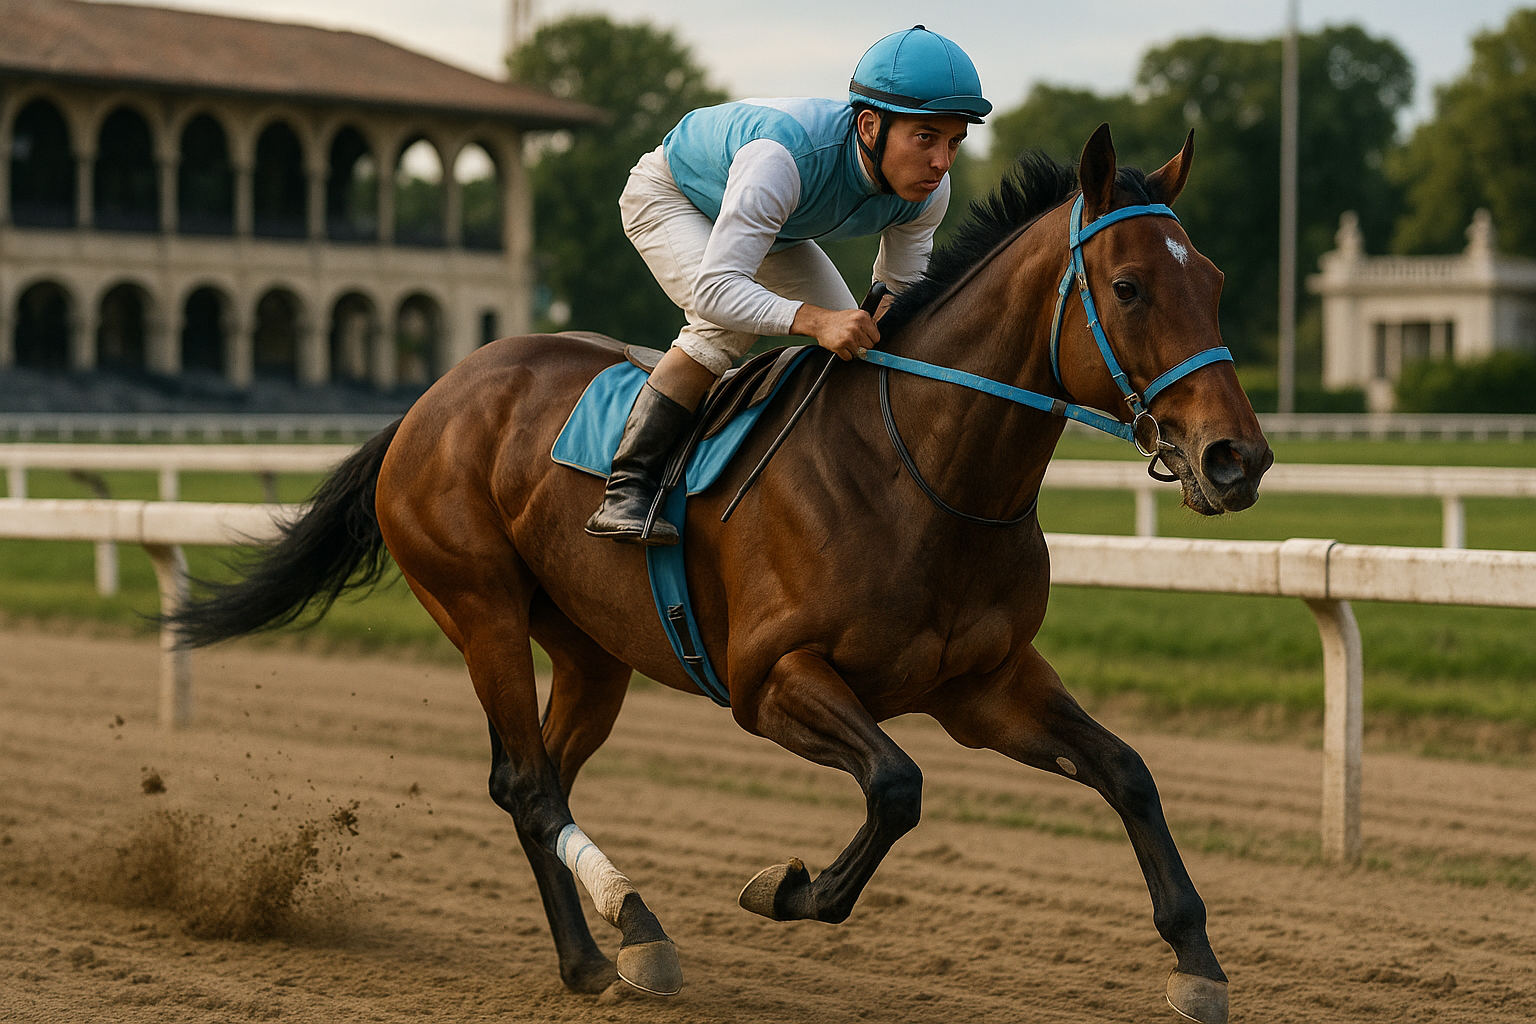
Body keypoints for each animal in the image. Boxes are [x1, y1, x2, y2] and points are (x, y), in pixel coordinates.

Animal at [171, 124, 1271, 1023]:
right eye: (1129, 287)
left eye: (1216, 281)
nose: (1237, 459)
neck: (922, 469)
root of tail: (431, 396)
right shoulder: (771, 679)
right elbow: (897, 785)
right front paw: (784, 888)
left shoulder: (985, 685)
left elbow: (1126, 770)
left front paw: (1198, 964)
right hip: (477, 604)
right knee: (527, 780)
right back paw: (638, 930)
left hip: (590, 646)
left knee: (540, 781)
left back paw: (591, 958)